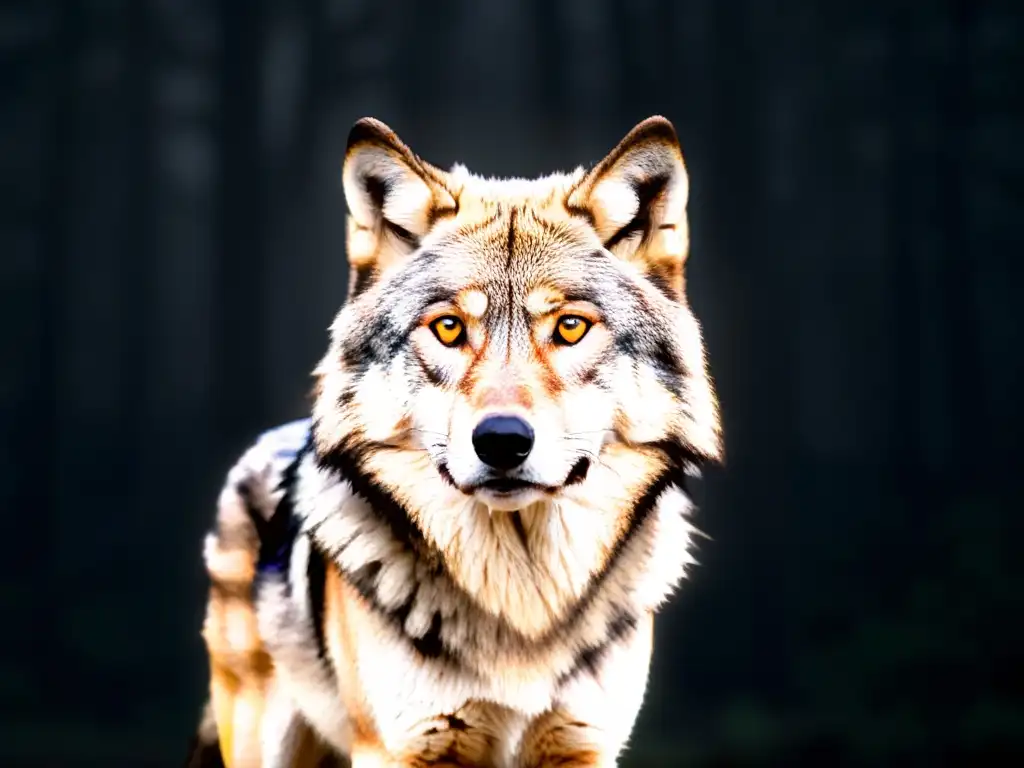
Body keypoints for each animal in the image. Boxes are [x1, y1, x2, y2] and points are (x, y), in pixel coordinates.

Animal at [188, 115, 724, 768]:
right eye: (448, 328)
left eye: (570, 327)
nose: (502, 441)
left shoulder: (584, 746)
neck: (520, 607)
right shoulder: (401, 747)